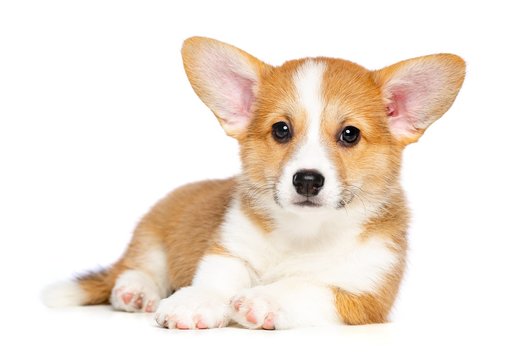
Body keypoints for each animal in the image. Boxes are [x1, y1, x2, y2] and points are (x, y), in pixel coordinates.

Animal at [42, 36, 466, 330]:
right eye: (281, 130)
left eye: (350, 134)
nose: (307, 180)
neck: (305, 233)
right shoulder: (229, 249)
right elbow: (218, 278)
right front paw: (196, 301)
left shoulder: (363, 294)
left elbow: (307, 286)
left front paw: (264, 301)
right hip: (151, 238)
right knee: (136, 268)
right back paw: (137, 291)